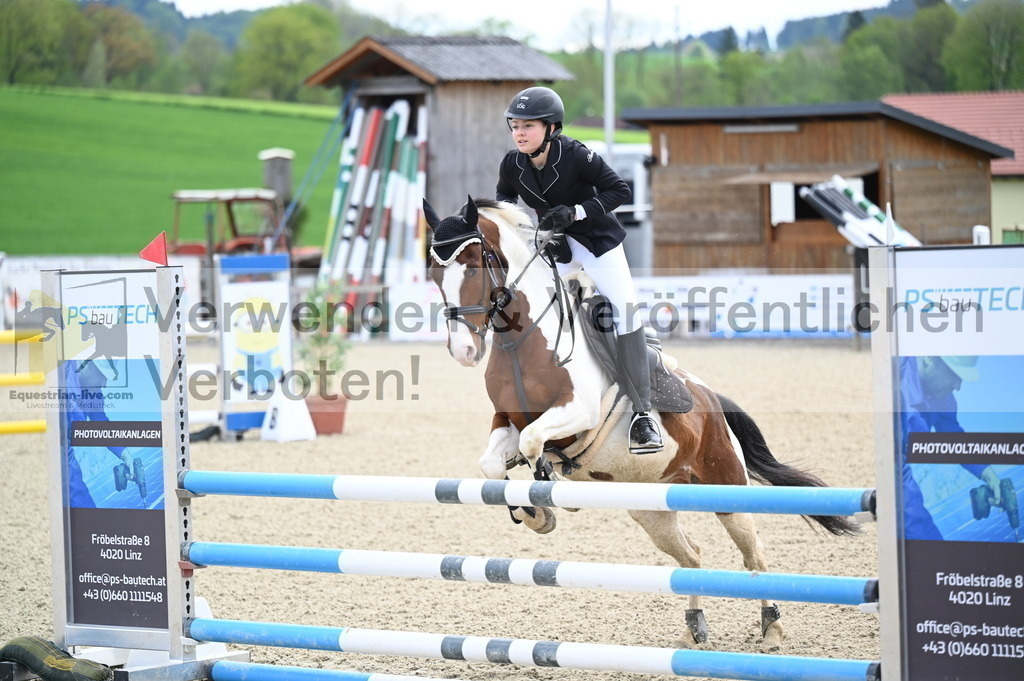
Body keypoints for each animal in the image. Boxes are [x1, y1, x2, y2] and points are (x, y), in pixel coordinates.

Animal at [421, 196, 856, 647]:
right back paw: (694, 630)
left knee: (753, 553)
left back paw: (771, 627)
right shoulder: (506, 418)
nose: (464, 351)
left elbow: (532, 442)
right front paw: (534, 514)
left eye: (473, 266)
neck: (521, 339)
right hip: (651, 507)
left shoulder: (577, 411)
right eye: (434, 272)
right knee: (692, 555)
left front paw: (546, 482)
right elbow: (493, 464)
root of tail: (712, 400)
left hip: (727, 486)